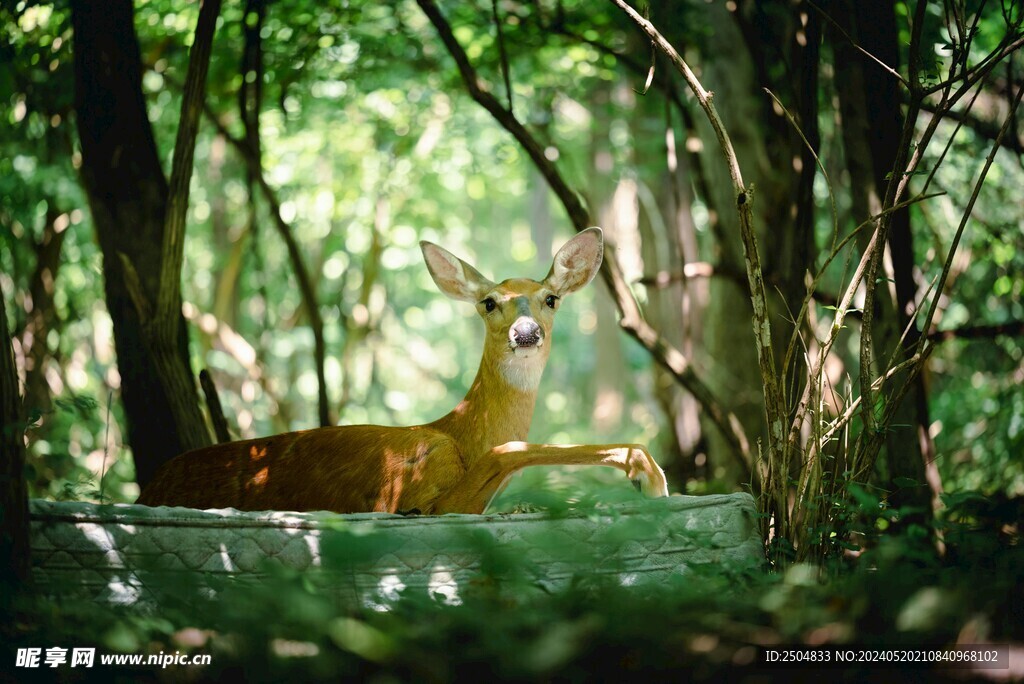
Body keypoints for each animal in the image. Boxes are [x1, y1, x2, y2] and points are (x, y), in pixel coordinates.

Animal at [137, 227, 669, 515]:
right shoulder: (412, 496)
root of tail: (149, 485)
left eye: (551, 298)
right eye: (488, 301)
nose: (525, 333)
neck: (456, 432)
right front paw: (647, 472)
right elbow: (508, 450)